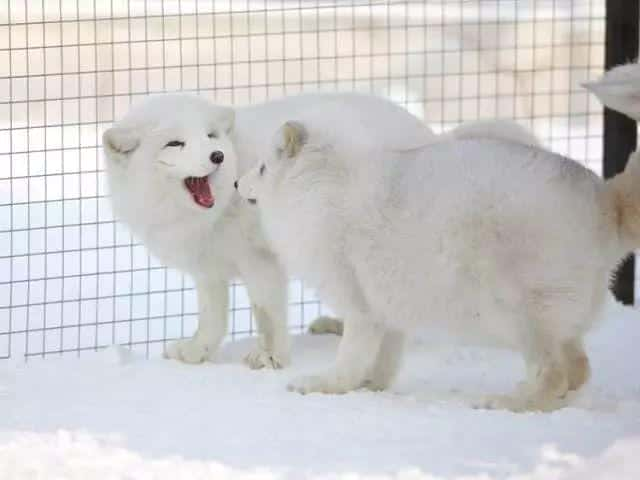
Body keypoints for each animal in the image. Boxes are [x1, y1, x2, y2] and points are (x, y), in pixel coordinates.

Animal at [102, 92, 432, 368]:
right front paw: (197, 352)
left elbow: (267, 312)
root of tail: (423, 128)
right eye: (175, 143)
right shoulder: (209, 267)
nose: (218, 156)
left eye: (210, 136)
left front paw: (271, 356)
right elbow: (212, 318)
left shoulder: (260, 259)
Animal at [238, 67, 640, 410]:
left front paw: (323, 385)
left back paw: (508, 403)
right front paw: (371, 386)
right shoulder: (388, 307)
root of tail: (605, 201)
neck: (321, 186)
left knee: (557, 374)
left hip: (515, 312)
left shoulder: (358, 302)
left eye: (262, 167)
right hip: (556, 320)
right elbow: (384, 360)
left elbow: (351, 357)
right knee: (579, 369)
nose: (237, 183)